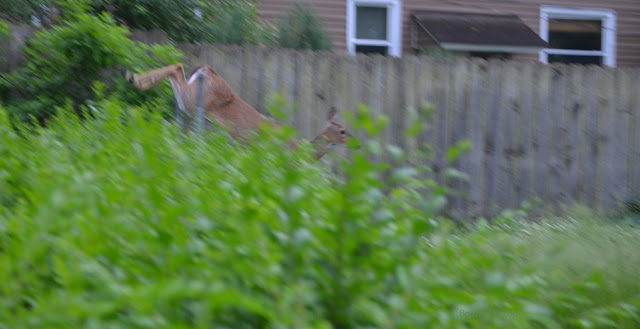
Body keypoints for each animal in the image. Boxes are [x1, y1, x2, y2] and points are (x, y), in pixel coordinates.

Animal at [125, 63, 356, 160]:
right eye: (343, 130)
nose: (356, 142)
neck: (300, 151)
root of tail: (208, 70)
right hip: (195, 103)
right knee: (177, 68)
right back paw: (134, 79)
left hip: (192, 103)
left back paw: (134, 78)